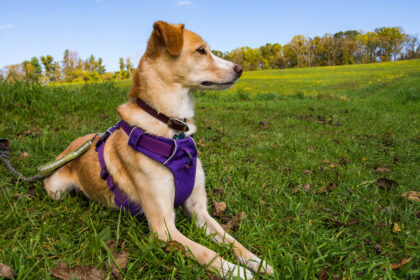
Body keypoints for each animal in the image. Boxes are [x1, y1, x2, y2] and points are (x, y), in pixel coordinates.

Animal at [44, 21, 274, 278]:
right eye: (201, 50)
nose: (240, 68)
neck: (173, 130)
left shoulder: (199, 210)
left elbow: (231, 240)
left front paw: (256, 261)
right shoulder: (164, 228)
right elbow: (206, 253)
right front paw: (236, 271)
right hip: (56, 190)